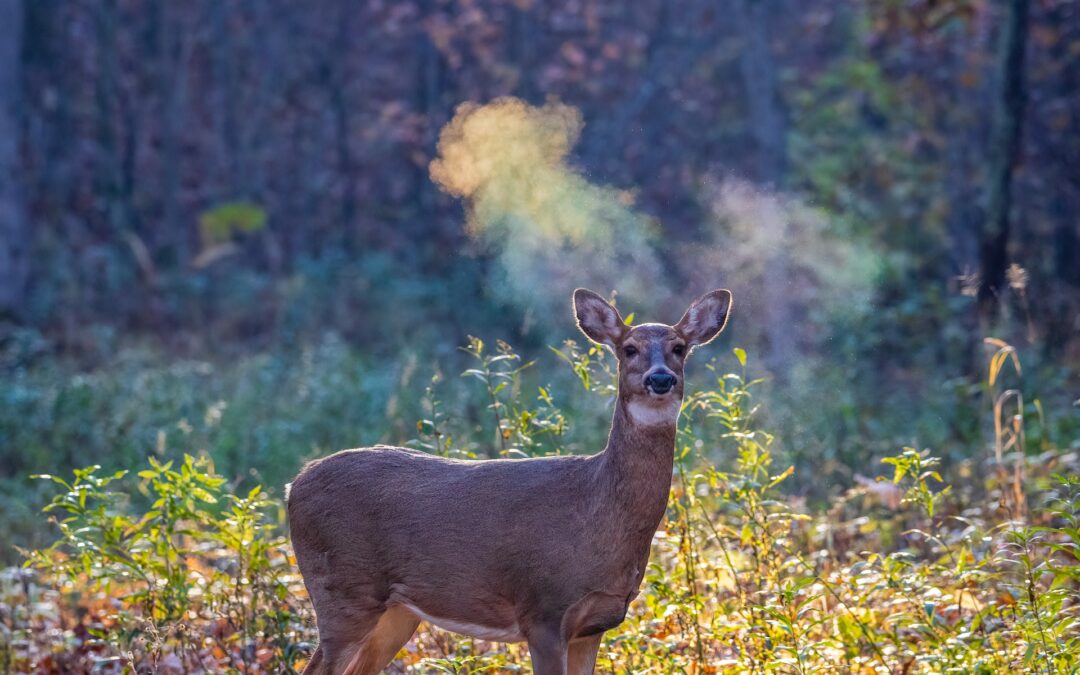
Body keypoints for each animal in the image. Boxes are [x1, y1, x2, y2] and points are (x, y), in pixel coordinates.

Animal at [287, 287, 734, 673]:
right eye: (629, 349)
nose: (660, 379)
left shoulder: (595, 624)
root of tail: (295, 484)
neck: (596, 508)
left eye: (679, 348)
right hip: (342, 591)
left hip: (395, 612)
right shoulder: (543, 611)